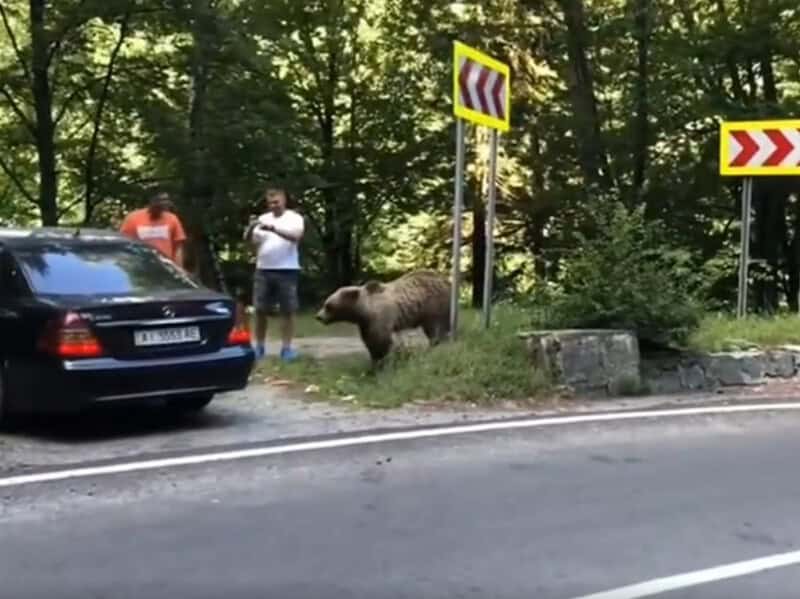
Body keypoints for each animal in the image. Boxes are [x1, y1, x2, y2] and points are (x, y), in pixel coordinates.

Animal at [314, 272, 454, 366]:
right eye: (325, 303)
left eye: (328, 306)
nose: (318, 317)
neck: (364, 310)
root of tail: (447, 281)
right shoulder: (365, 323)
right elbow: (370, 341)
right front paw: (374, 360)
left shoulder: (380, 317)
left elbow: (380, 341)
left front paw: (381, 362)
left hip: (434, 307)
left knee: (435, 329)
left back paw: (435, 346)